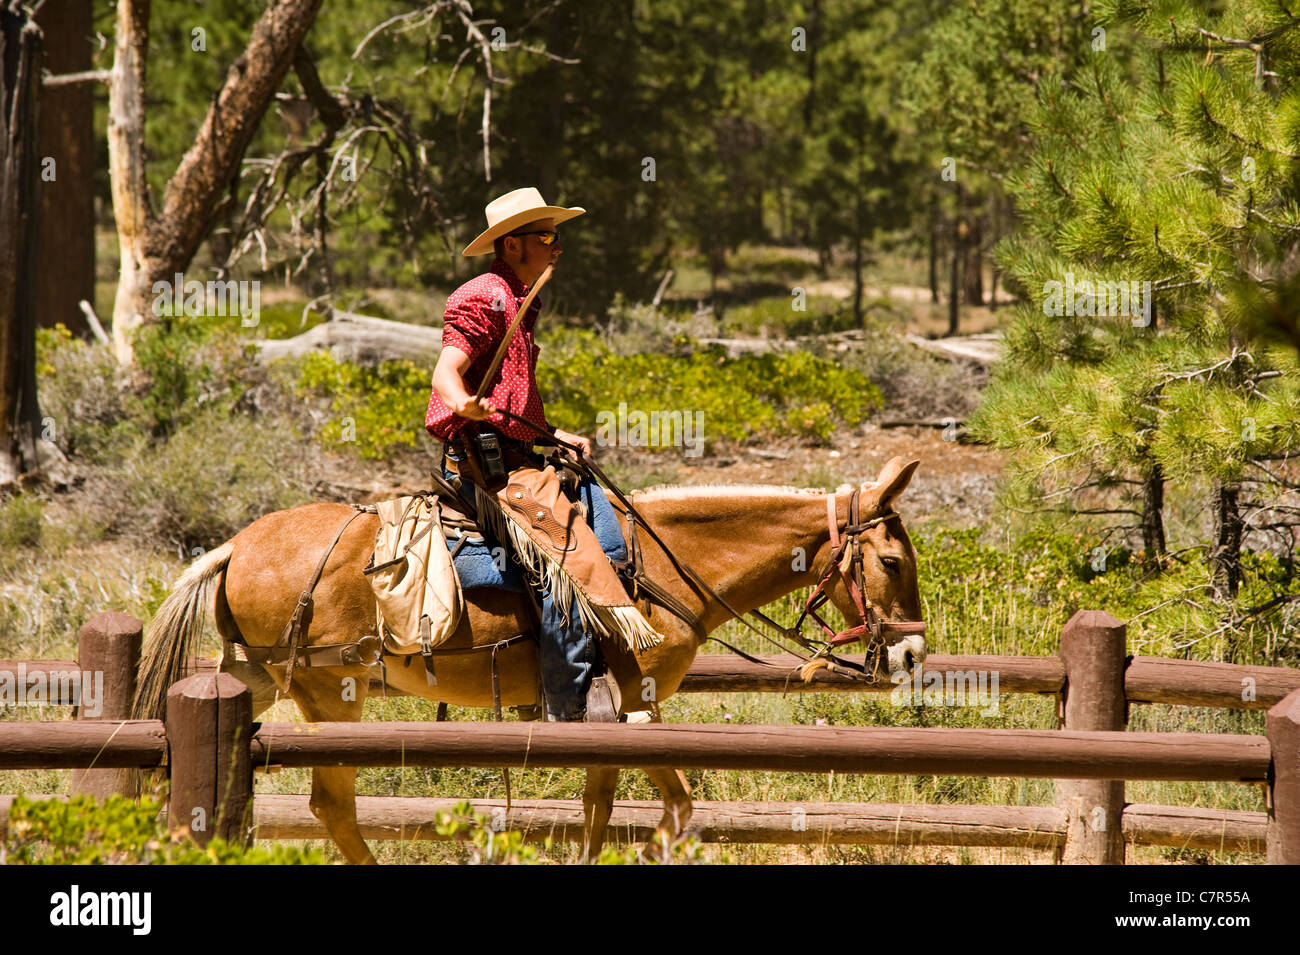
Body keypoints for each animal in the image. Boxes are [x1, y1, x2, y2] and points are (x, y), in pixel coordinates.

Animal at [133, 455, 927, 863]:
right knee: (332, 804)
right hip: (333, 694)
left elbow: (606, 805)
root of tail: (236, 546)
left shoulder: (612, 713)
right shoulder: (633, 704)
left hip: (259, 678)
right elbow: (670, 805)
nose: (913, 651)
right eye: (891, 560)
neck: (662, 565)